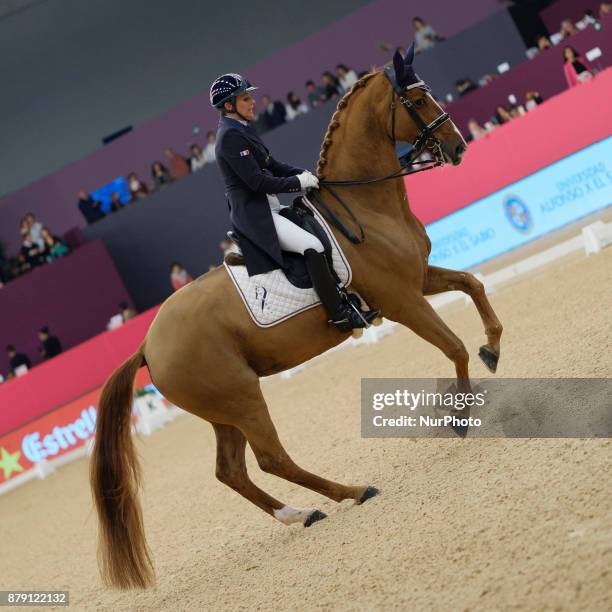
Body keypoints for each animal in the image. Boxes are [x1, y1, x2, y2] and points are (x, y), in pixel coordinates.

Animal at [89, 56, 502, 588]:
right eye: (416, 99)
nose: (458, 147)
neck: (365, 208)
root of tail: (147, 343)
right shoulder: (402, 301)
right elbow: (452, 346)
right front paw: (460, 418)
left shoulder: (418, 281)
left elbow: (473, 284)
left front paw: (493, 348)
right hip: (242, 397)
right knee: (271, 459)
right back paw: (352, 491)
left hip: (221, 408)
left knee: (231, 471)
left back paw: (301, 514)